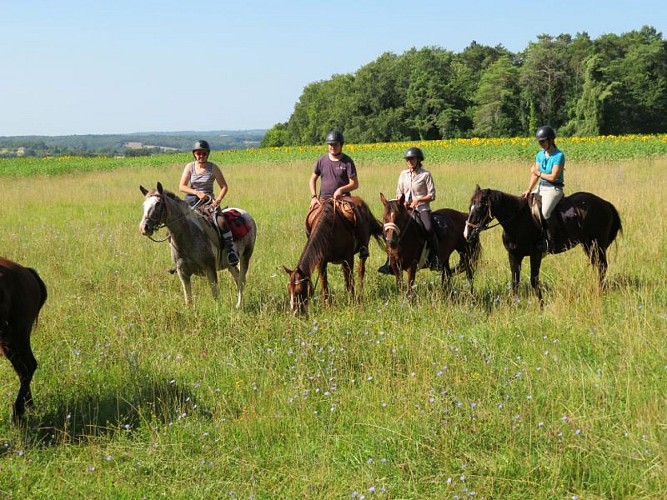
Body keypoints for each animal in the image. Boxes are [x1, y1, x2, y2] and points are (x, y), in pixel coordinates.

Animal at [0, 257, 48, 423]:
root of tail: (27, 272)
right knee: (22, 369)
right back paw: (29, 407)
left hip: (18, 337)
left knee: (28, 366)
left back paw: (18, 415)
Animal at [463, 185, 622, 306]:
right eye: (470, 206)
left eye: (480, 207)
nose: (467, 234)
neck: (518, 219)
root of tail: (605, 203)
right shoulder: (514, 255)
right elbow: (515, 282)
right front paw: (513, 305)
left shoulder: (535, 254)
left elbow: (534, 281)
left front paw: (541, 306)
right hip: (589, 246)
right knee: (598, 266)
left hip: (597, 245)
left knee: (602, 266)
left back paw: (599, 291)